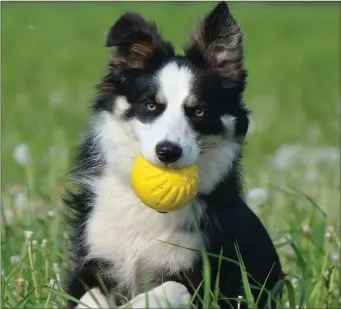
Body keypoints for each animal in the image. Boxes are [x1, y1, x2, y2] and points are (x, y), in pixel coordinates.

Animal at [63, 2, 282, 308]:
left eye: (199, 111)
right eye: (151, 105)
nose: (168, 152)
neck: (145, 209)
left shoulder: (203, 278)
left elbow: (169, 289)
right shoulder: (93, 261)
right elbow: (89, 296)